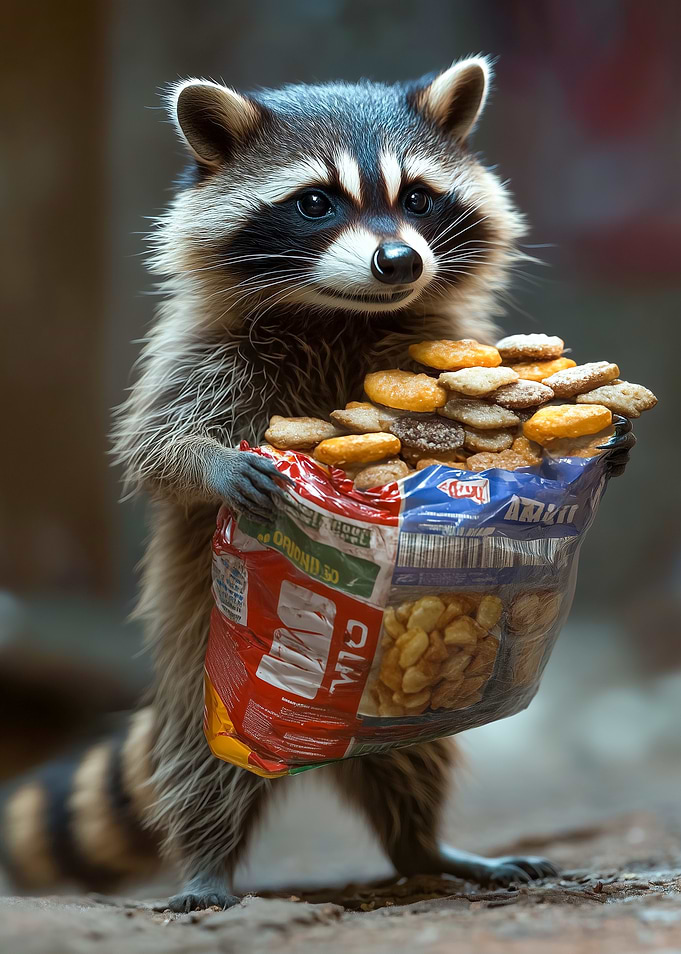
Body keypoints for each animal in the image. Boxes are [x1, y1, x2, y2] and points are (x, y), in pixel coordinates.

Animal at [0, 57, 558, 909]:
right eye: (315, 202)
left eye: (418, 199)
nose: (399, 262)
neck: (336, 313)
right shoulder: (199, 357)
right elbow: (154, 447)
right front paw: (212, 463)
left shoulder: (440, 340)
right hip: (203, 663)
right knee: (203, 762)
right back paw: (207, 857)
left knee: (408, 758)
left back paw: (422, 846)